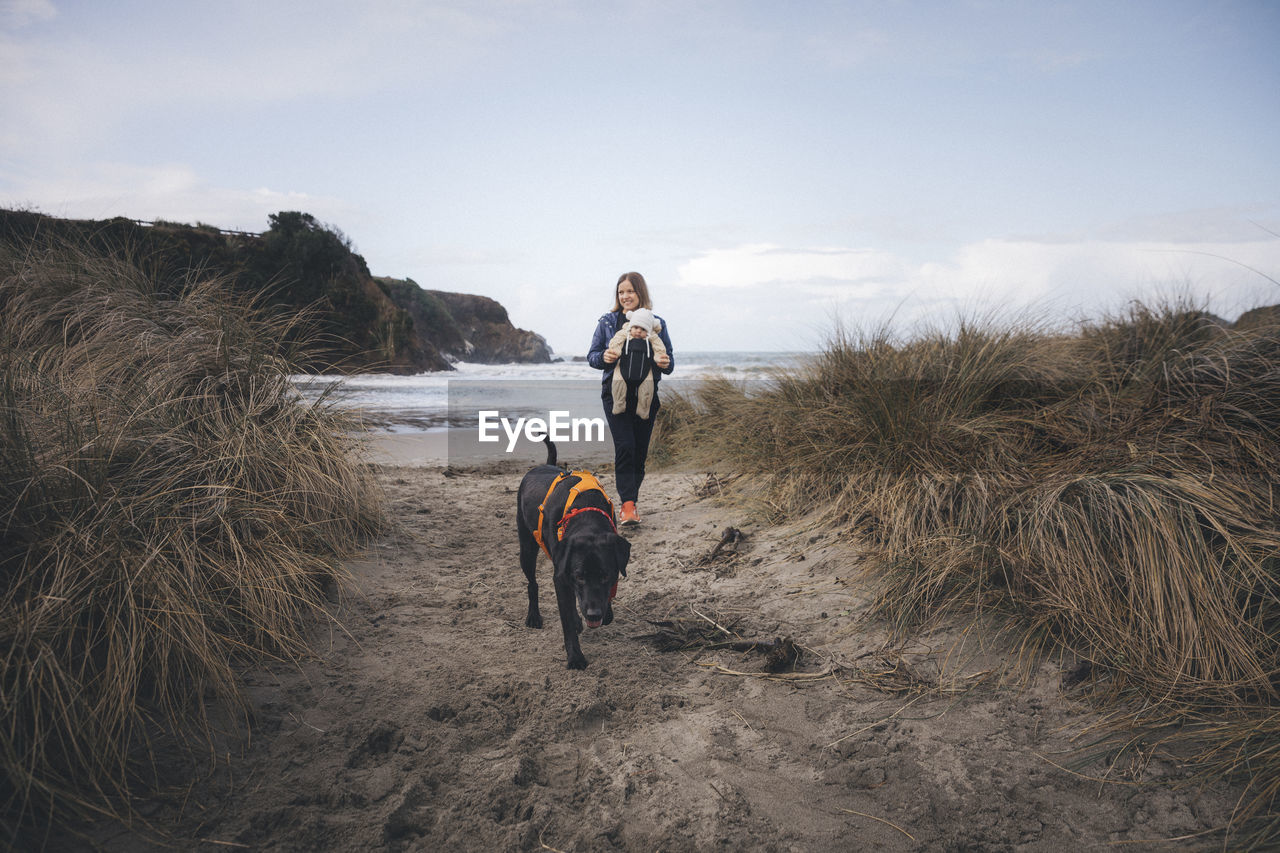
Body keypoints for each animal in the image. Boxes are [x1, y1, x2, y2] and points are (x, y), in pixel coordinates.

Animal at [512, 440, 627, 666]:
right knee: (532, 583)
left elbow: (604, 602)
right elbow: (566, 620)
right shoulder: (562, 576)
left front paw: (604, 613)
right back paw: (534, 617)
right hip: (527, 548)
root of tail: (540, 466)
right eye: (580, 576)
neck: (585, 512)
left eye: (606, 576)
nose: (593, 614)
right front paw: (575, 658)